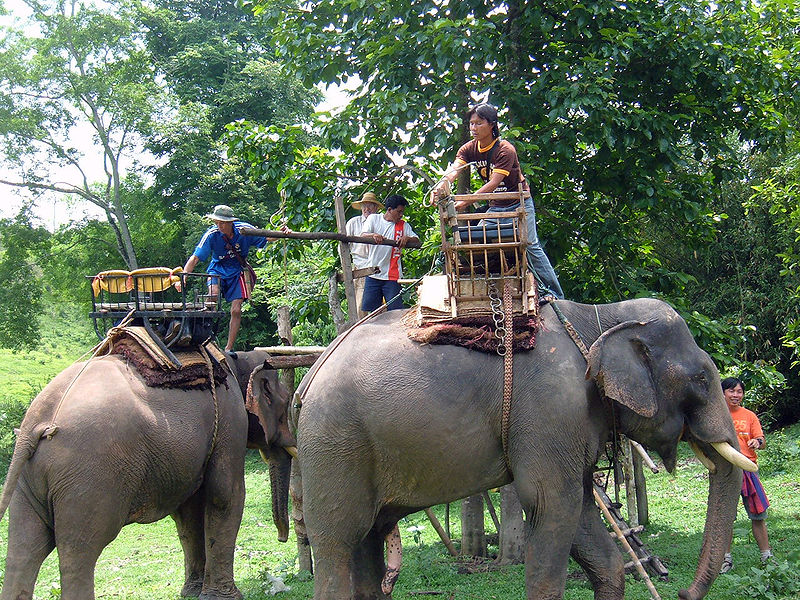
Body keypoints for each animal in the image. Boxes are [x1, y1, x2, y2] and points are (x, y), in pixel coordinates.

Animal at [290, 298, 752, 596]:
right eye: (701, 381)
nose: (683, 593)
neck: (598, 317)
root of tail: (309, 375)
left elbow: (585, 520)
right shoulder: (551, 409)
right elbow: (552, 504)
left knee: (369, 538)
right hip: (334, 445)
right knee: (338, 540)